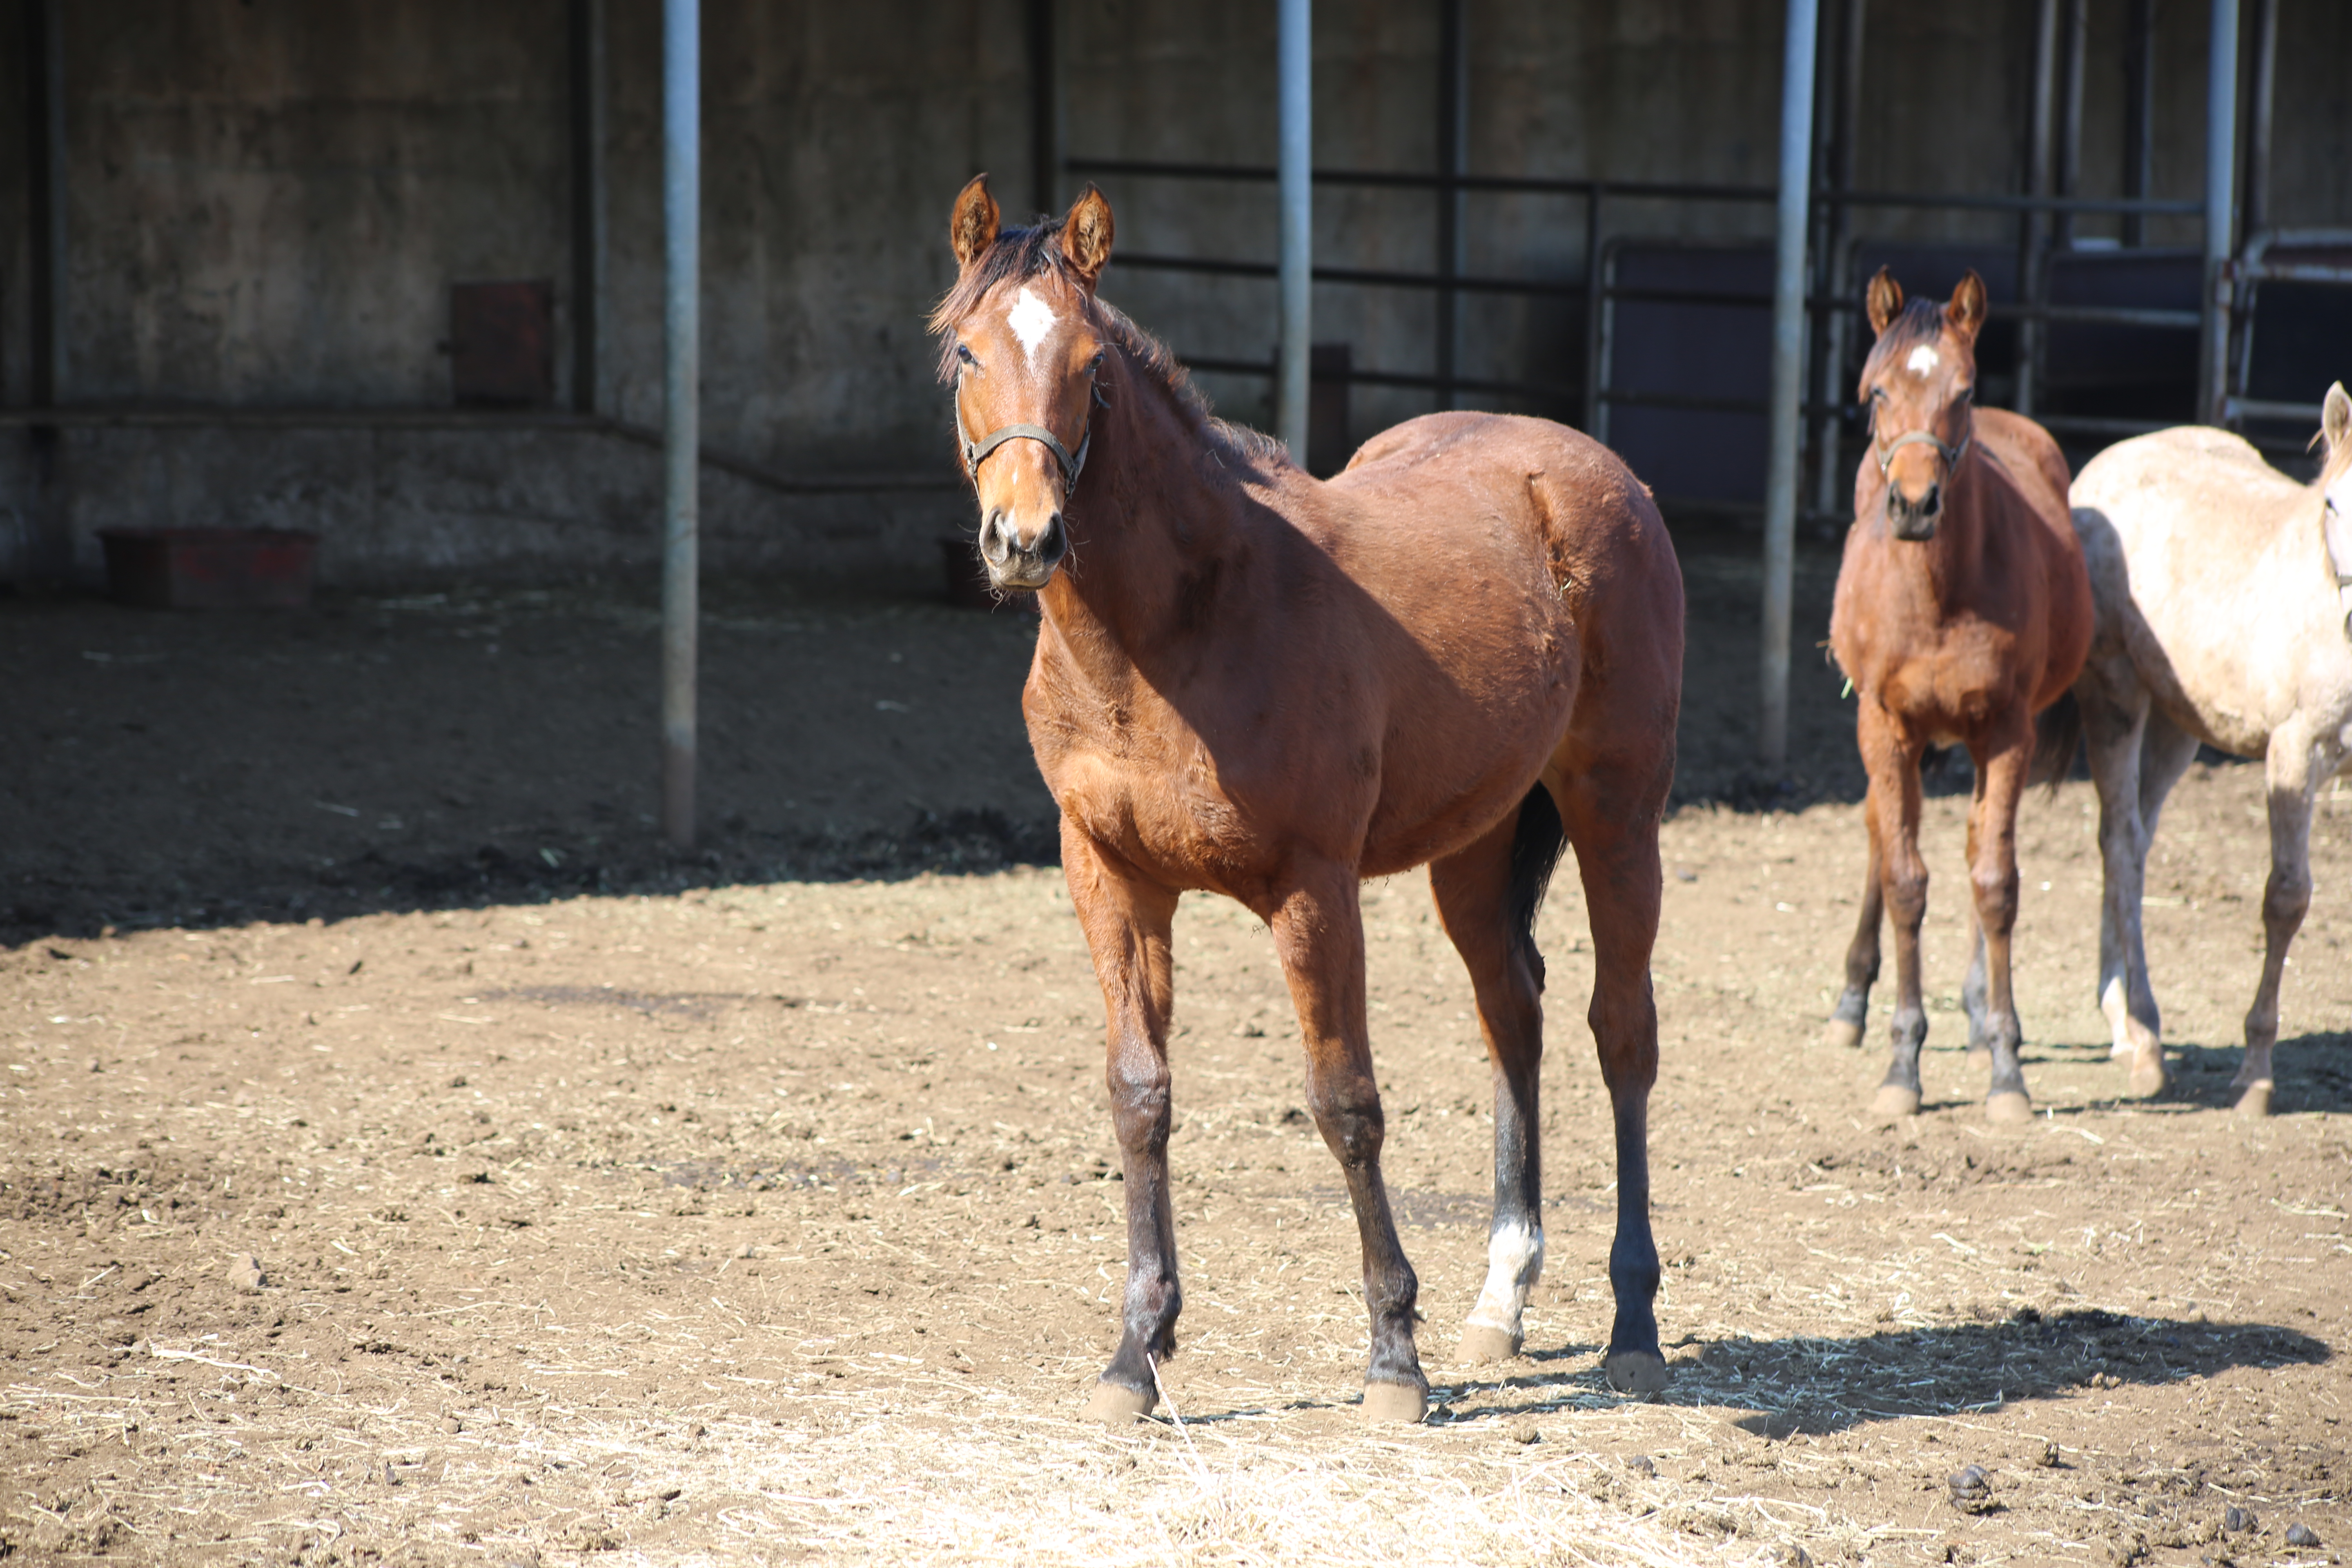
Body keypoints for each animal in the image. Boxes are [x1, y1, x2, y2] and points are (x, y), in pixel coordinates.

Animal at [927, 177, 1684, 1429]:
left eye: (1092, 368)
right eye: (965, 355)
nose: (1023, 539)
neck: (1173, 635)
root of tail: (1589, 468)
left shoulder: (1312, 889)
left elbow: (1345, 1104)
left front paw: (1392, 1359)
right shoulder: (1109, 877)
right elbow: (1138, 1095)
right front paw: (1136, 1352)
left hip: (1616, 811)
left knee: (1620, 1032)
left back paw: (1633, 1325)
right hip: (1474, 846)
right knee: (1512, 1015)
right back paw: (1501, 1297)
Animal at [1825, 272, 2088, 1128]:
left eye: (1963, 392)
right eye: (1874, 392)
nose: (1914, 504)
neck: (1938, 597)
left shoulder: (2007, 732)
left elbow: (1994, 882)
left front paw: (2005, 1066)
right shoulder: (1884, 727)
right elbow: (1905, 878)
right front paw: (1901, 1065)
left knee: (1980, 849)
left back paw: (1977, 1017)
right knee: (1881, 834)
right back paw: (1851, 1002)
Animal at [2079, 383, 2352, 1114]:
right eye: (2333, 502)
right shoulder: (2294, 749)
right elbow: (2286, 899)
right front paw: (2255, 1075)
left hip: (2179, 725)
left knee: (2134, 843)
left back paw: (2122, 1026)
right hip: (2115, 694)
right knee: (2121, 843)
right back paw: (2145, 1041)